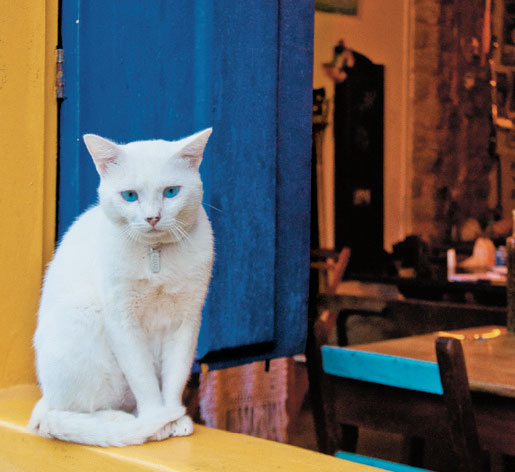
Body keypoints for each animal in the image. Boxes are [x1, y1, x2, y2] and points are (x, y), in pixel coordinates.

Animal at [27, 128, 214, 446]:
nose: (153, 217)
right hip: (84, 319)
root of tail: (45, 397)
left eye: (171, 192)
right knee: (69, 414)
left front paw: (175, 418)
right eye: (130, 196)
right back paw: (127, 423)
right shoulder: (123, 322)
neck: (155, 257)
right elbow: (144, 381)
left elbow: (175, 376)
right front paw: (158, 420)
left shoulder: (186, 321)